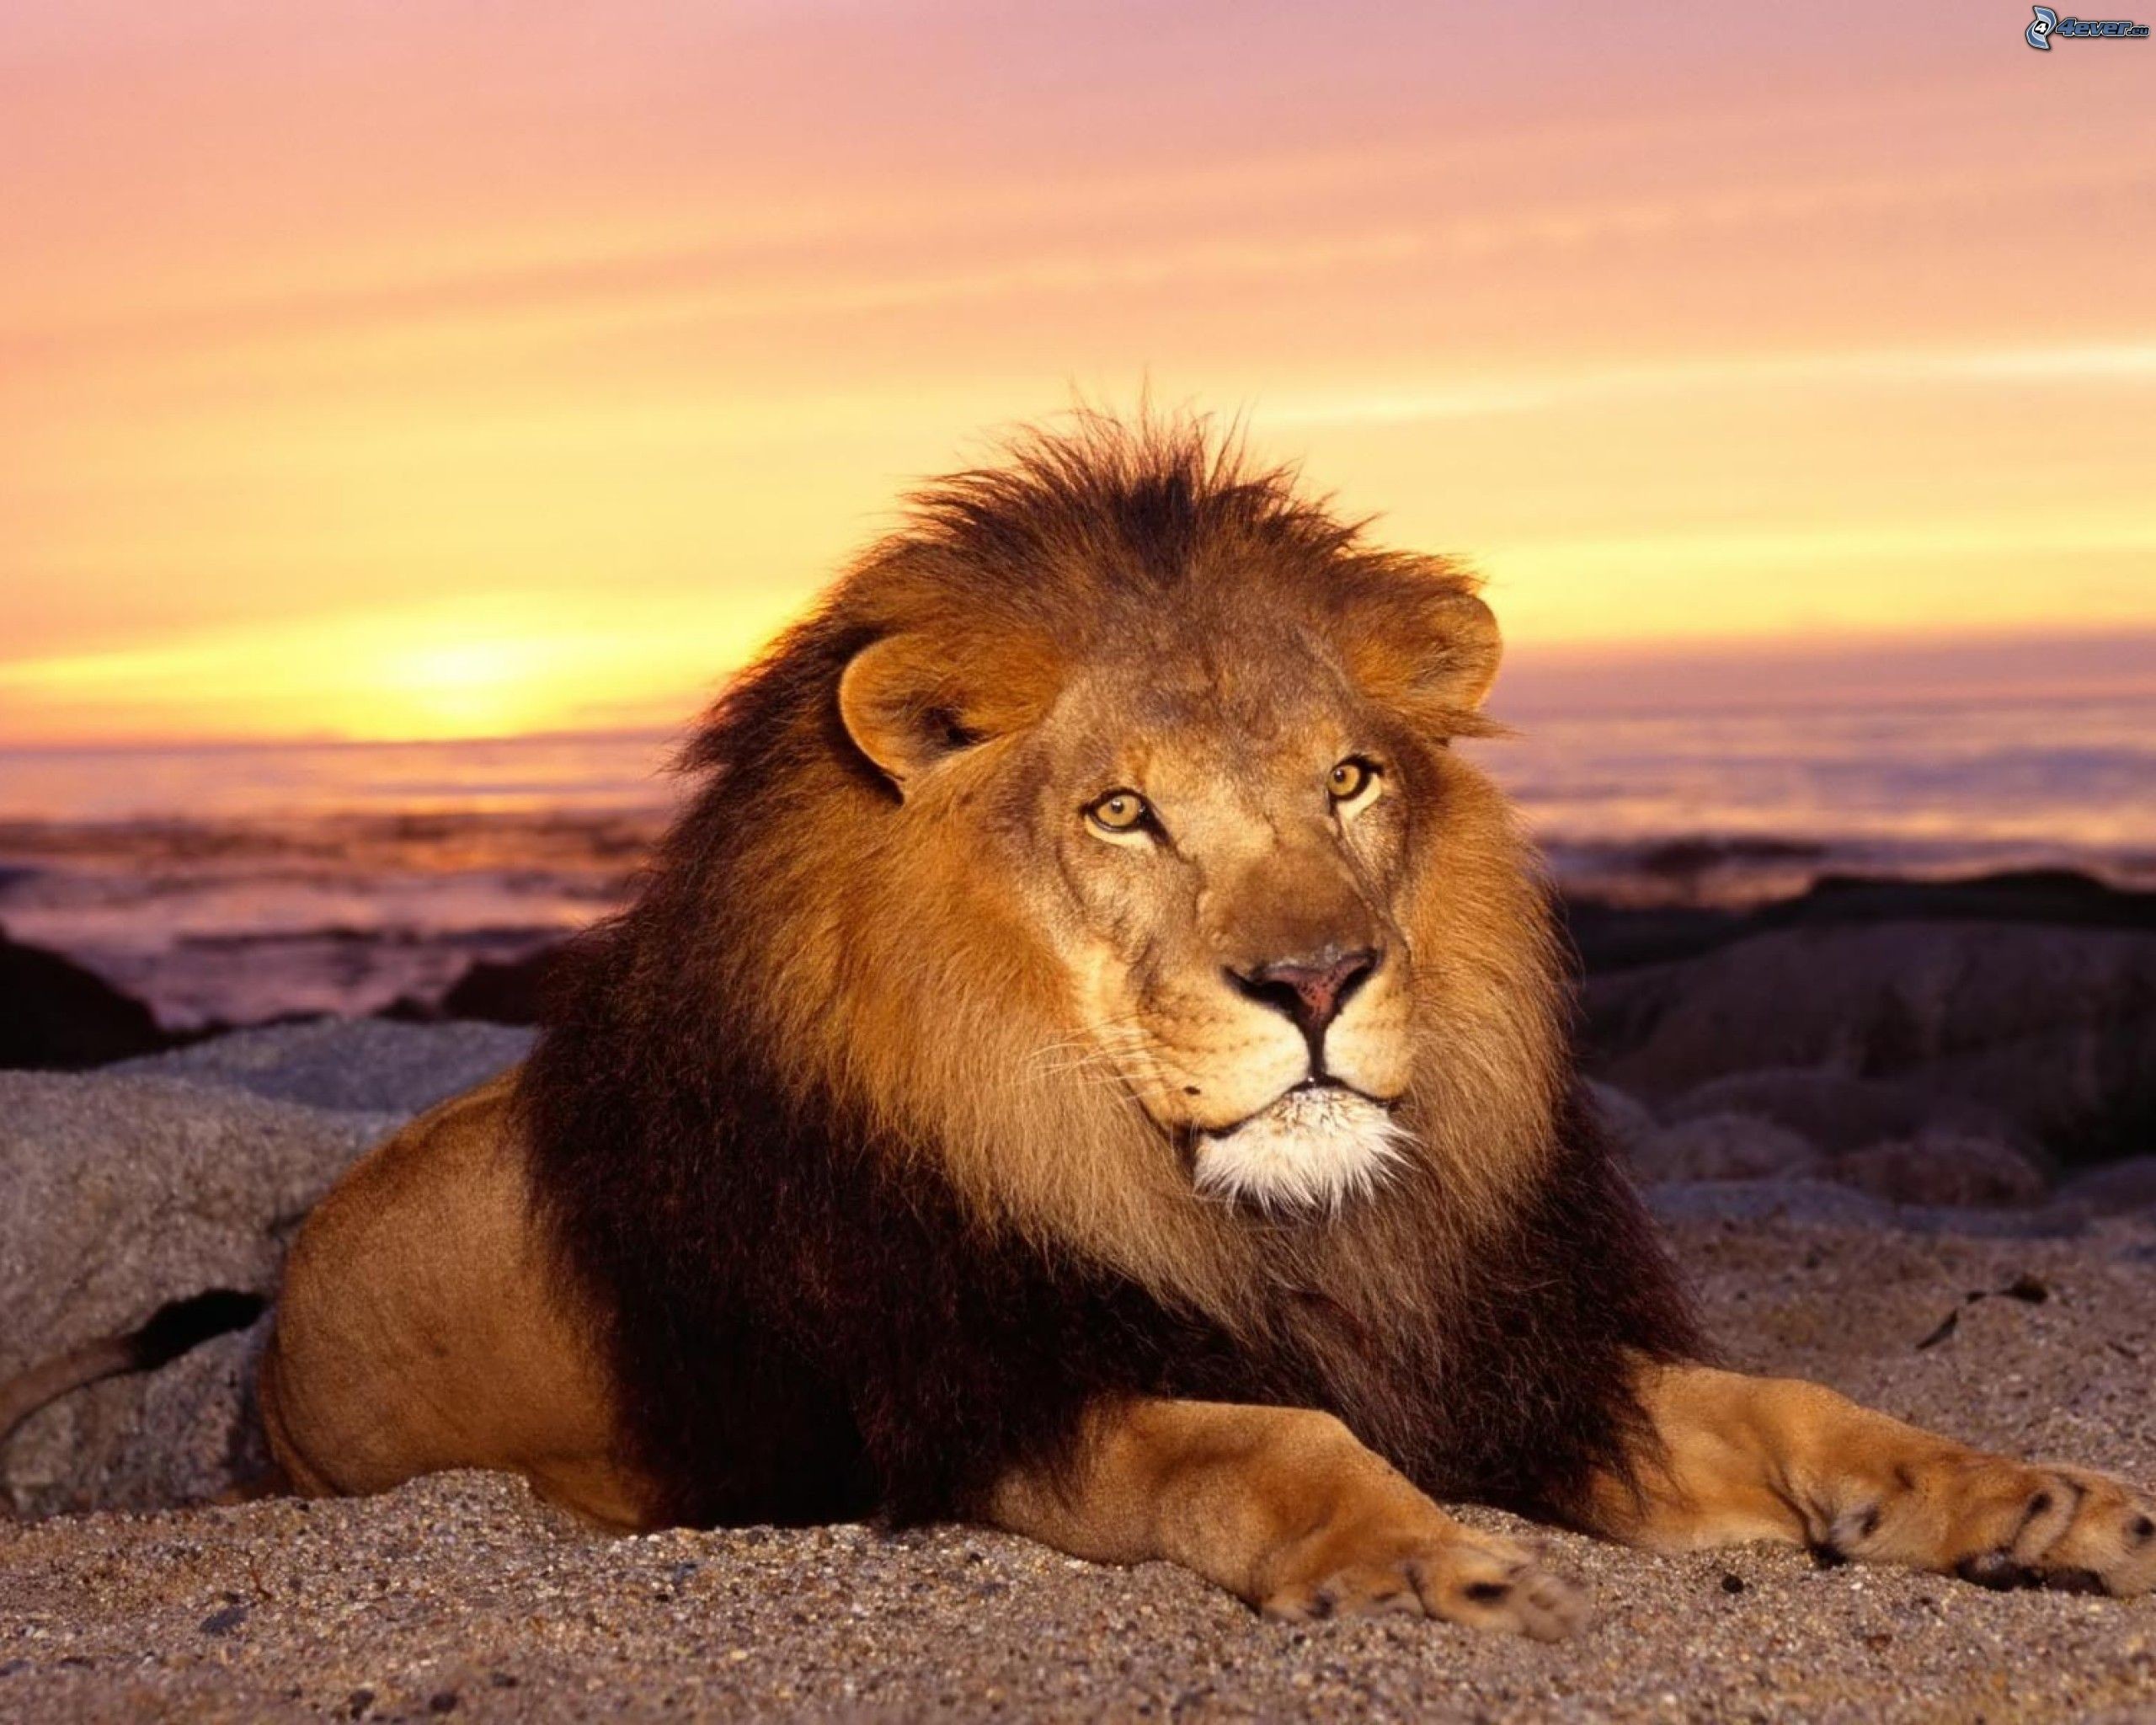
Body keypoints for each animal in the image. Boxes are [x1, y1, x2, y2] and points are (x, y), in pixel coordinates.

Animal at [257, 416, 2156, 1635]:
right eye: (1121, 814)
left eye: (1350, 780)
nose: (1317, 979)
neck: (1256, 1225)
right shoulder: (984, 1400)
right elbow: (1251, 1436)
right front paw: (1434, 1560)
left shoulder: (1492, 1353)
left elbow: (1796, 1403)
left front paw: (2030, 1500)